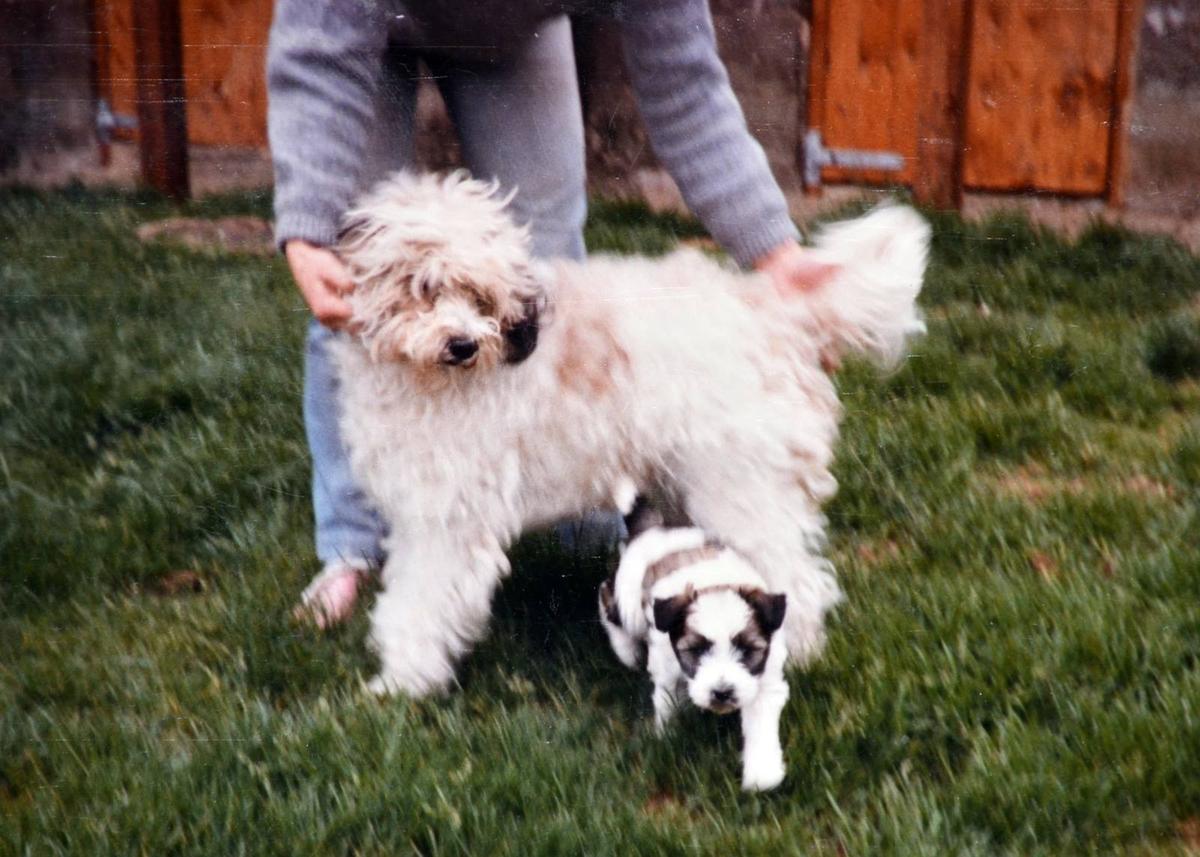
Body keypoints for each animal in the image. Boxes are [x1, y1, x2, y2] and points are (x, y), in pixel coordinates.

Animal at [333, 171, 931, 696]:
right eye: (423, 287)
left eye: (481, 298)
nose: (462, 344)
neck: (429, 380)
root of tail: (775, 311)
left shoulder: (448, 522)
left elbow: (420, 604)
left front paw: (400, 684)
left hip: (744, 488)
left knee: (795, 582)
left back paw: (791, 659)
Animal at [597, 496, 787, 792]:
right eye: (696, 650)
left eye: (747, 650)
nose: (722, 692)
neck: (715, 584)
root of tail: (652, 529)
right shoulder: (666, 665)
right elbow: (667, 700)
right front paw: (667, 737)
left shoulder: (763, 677)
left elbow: (760, 720)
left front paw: (762, 774)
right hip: (630, 603)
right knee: (607, 596)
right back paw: (626, 651)